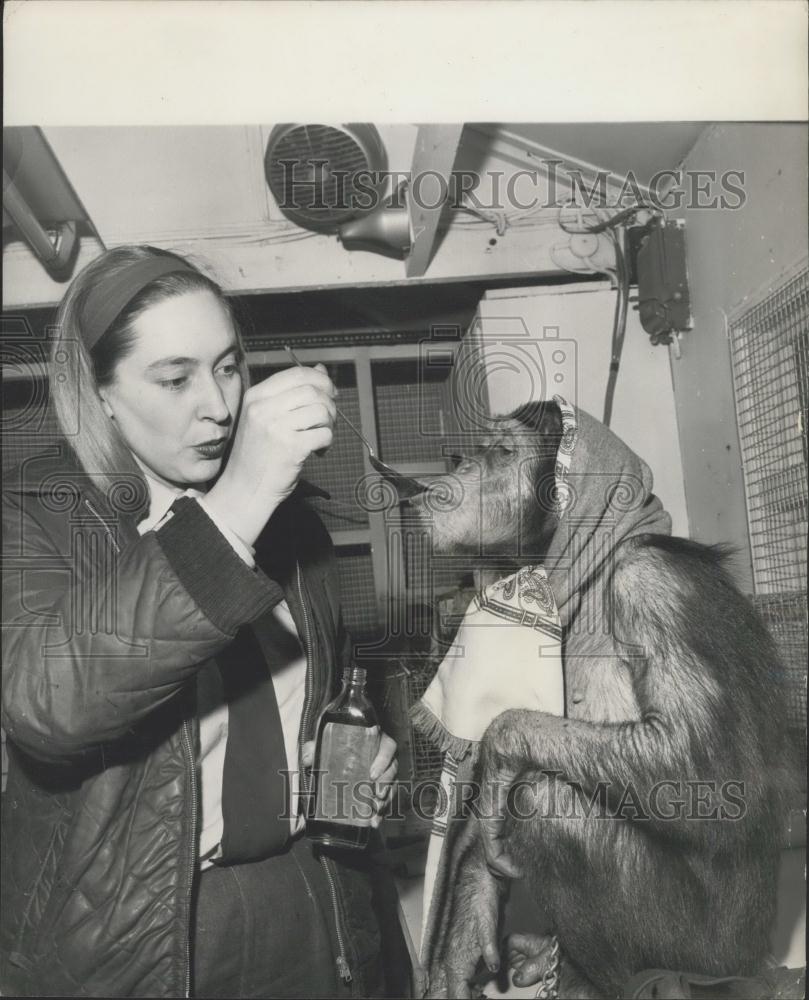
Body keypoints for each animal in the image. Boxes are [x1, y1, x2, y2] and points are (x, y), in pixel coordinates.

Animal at [410, 400, 788, 1000]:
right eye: (476, 451)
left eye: (500, 453)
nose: (463, 466)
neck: (579, 577)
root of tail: (758, 961)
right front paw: (470, 914)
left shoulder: (655, 587)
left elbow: (705, 769)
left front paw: (499, 747)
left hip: (704, 951)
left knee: (544, 804)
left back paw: (593, 979)